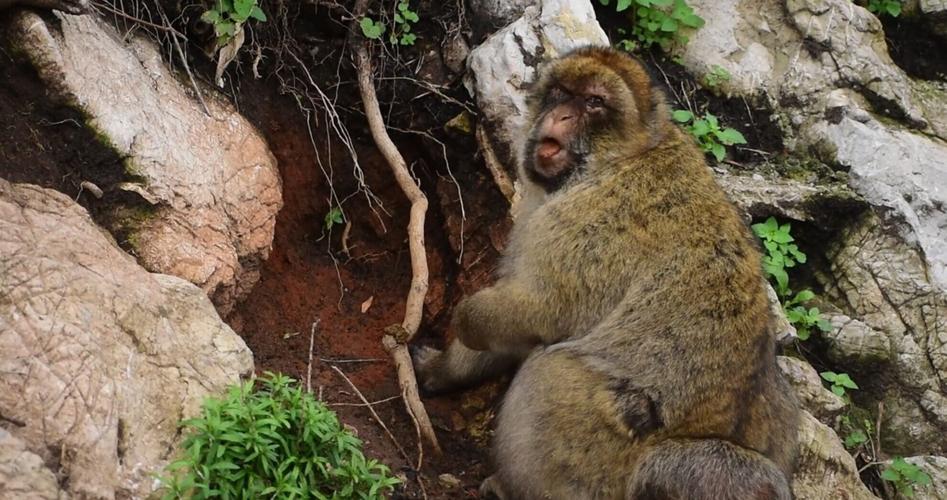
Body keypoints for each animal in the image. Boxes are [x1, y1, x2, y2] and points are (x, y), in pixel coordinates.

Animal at [413, 46, 801, 499]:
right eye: (561, 92)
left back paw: (511, 488)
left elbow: (537, 313)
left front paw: (466, 321)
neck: (624, 157)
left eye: (593, 102)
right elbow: (516, 332)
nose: (561, 115)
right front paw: (442, 371)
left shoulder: (586, 223)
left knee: (551, 370)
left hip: (603, 455)